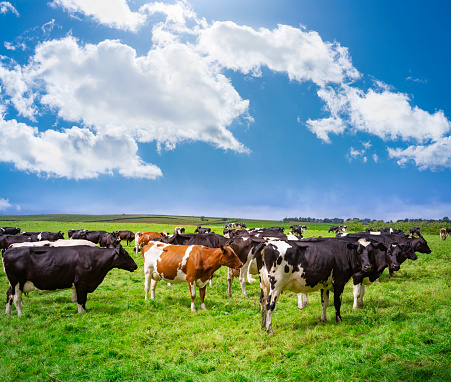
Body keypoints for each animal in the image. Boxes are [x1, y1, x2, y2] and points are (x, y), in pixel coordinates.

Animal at [3, 245, 137, 316]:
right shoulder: (81, 283)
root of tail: (8, 250)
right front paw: (81, 313)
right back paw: (21, 314)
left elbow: (84, 299)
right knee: (16, 298)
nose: (135, 265)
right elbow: (81, 299)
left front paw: (85, 310)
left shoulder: (85, 285)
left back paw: (8, 312)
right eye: (126, 254)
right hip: (17, 282)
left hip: (13, 284)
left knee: (9, 295)